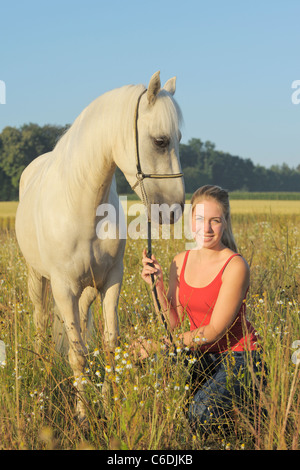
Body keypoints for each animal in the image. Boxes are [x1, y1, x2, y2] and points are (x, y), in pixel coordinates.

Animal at [16, 71, 186, 420]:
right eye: (160, 141)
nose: (175, 209)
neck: (83, 205)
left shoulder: (111, 281)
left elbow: (109, 345)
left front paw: (110, 403)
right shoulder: (62, 287)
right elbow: (78, 354)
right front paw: (83, 415)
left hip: (87, 289)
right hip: (37, 279)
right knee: (41, 322)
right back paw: (42, 369)